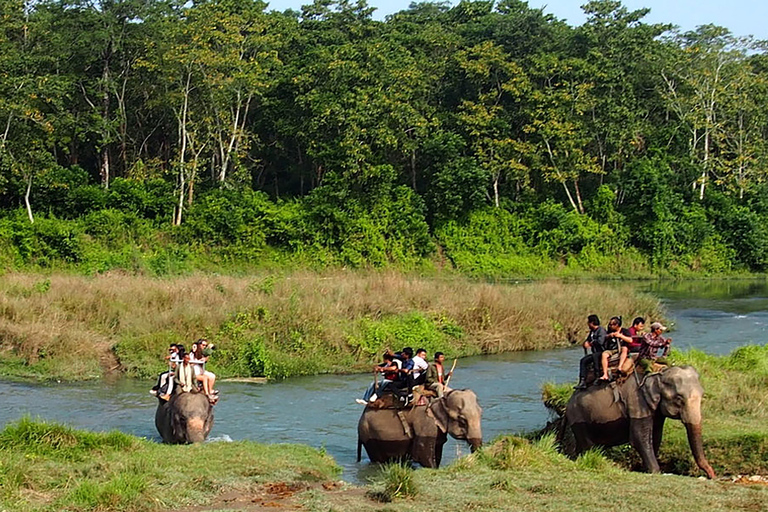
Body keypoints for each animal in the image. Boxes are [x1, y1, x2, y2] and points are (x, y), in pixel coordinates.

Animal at [564, 362, 712, 478]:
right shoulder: (637, 401)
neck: (658, 373)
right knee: (588, 446)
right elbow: (639, 437)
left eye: (702, 395)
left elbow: (656, 436)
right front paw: (655, 471)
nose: (711, 475)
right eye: (679, 399)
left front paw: (645, 469)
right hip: (578, 417)